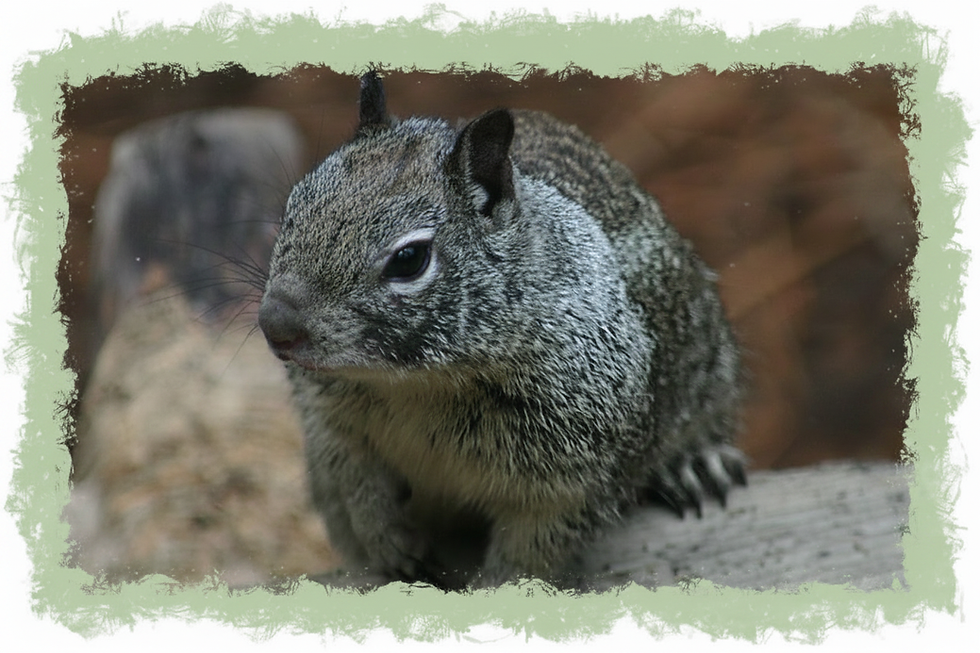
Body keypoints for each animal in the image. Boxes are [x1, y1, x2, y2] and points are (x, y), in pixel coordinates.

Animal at [258, 72, 745, 589]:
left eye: (409, 259)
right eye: (293, 207)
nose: (275, 325)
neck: (418, 383)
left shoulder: (570, 479)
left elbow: (530, 551)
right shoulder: (330, 422)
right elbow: (357, 485)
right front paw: (388, 542)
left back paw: (694, 464)